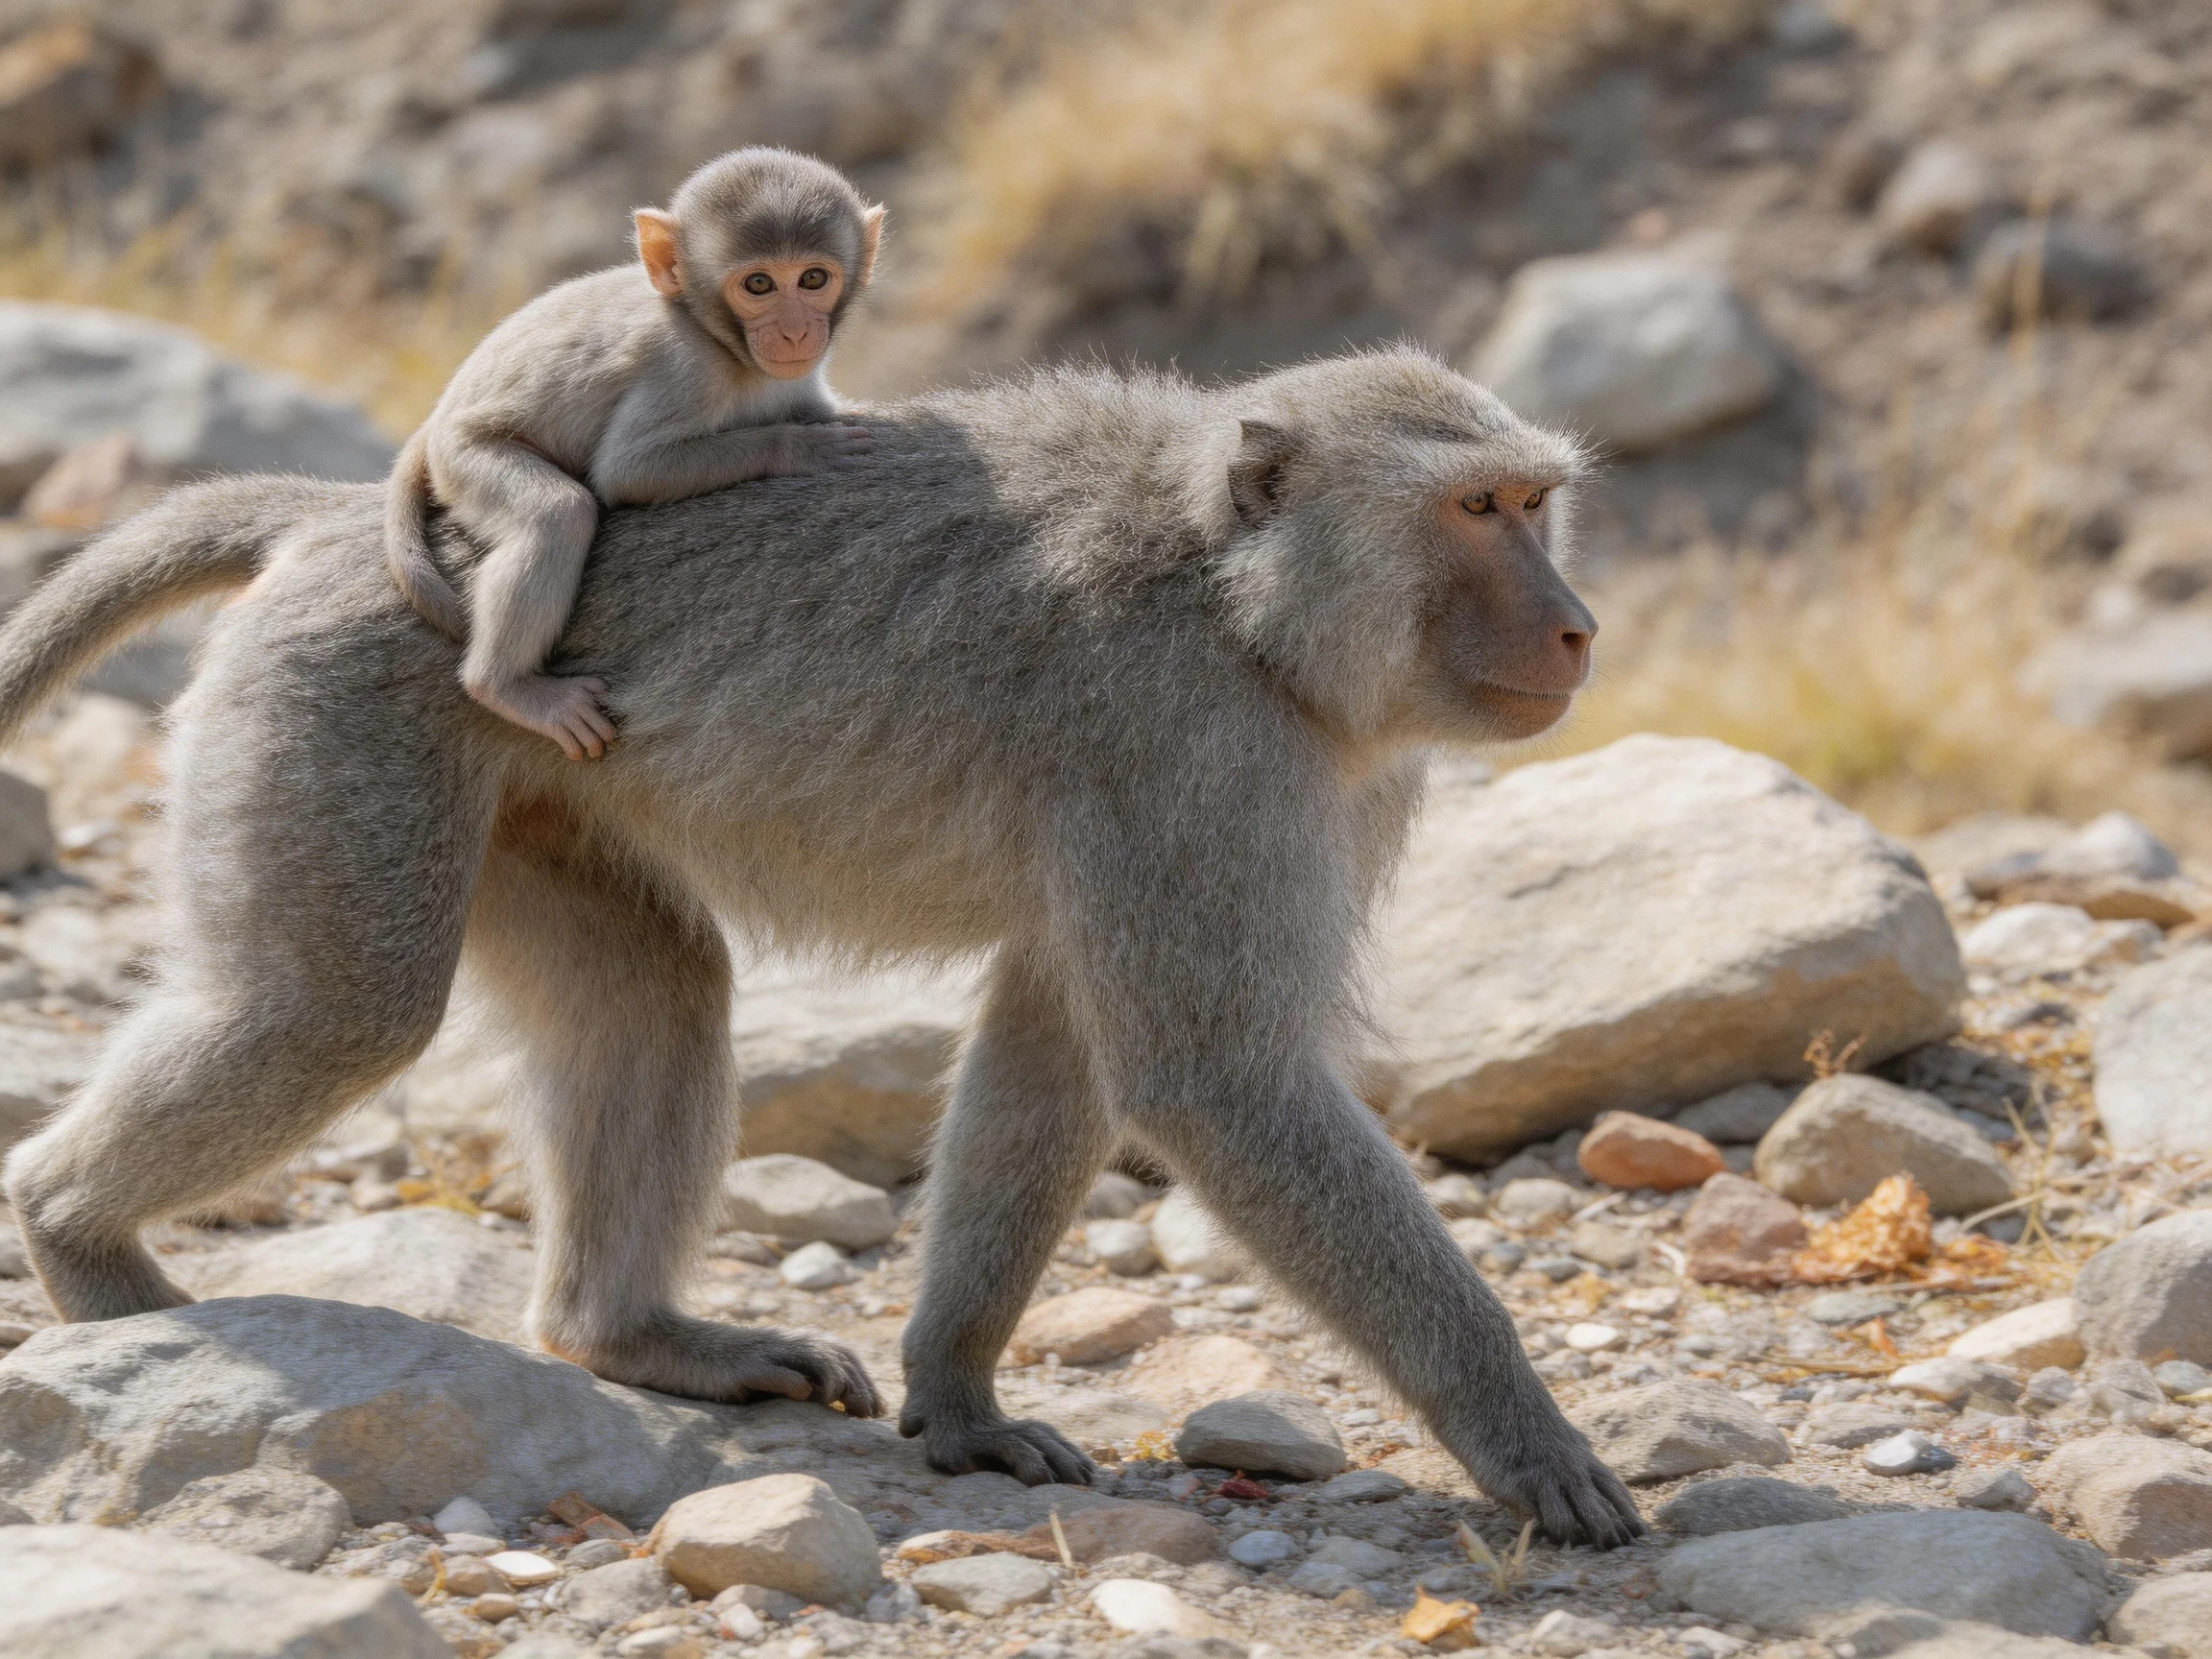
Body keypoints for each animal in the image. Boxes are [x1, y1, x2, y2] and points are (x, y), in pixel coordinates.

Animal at [0, 348, 1641, 1548]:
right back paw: (80, 1243)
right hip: (344, 703)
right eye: (1478, 509)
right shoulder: (1188, 749)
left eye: (1531, 501)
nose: (1577, 628)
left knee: (651, 993)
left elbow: (1055, 1047)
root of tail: (351, 520)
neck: (1236, 601)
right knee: (338, 1008)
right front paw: (1527, 1443)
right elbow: (1216, 1082)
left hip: (531, 776)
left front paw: (961, 1401)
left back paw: (633, 1336)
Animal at [385, 146, 884, 761]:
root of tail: (437, 421)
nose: (794, 333)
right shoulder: (683, 365)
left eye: (813, 279)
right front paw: (799, 447)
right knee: (559, 513)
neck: (719, 339)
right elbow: (628, 472)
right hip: (465, 458)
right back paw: (507, 687)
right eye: (759, 284)